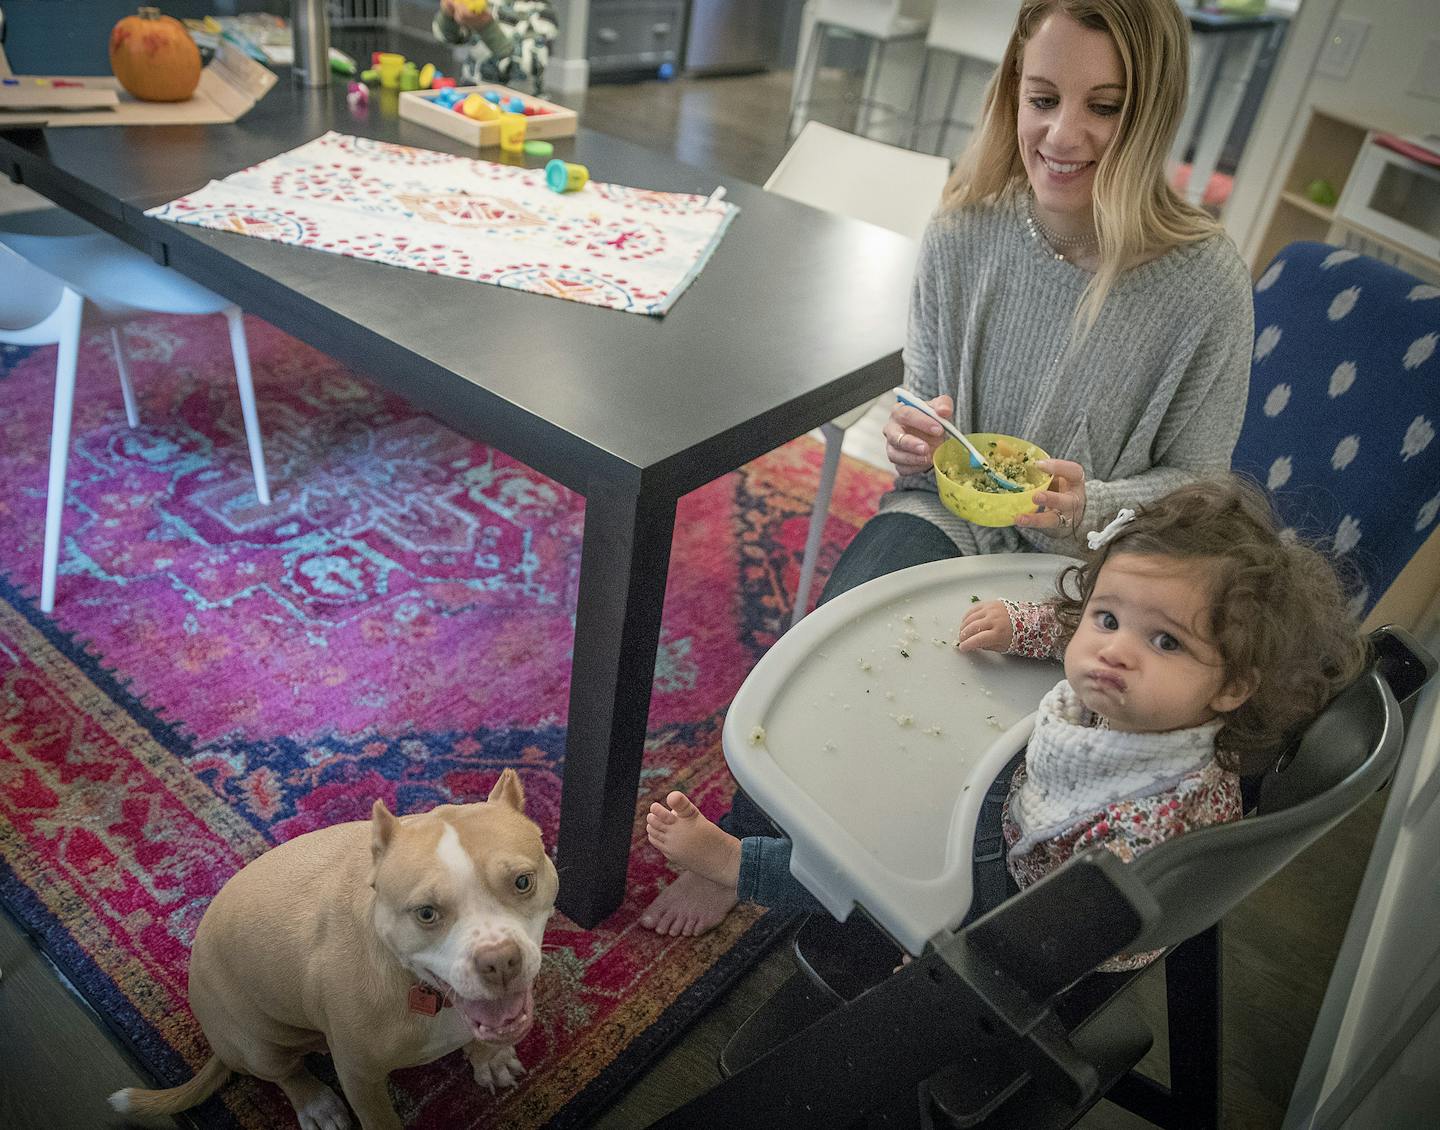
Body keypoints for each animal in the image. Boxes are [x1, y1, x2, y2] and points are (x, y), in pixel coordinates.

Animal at [105, 771, 555, 1128]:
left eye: (523, 882)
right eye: (426, 913)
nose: (499, 961)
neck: (416, 985)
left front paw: (490, 1058)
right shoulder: (360, 1077)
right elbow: (381, 1121)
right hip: (256, 1044)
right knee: (285, 1074)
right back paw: (316, 1105)